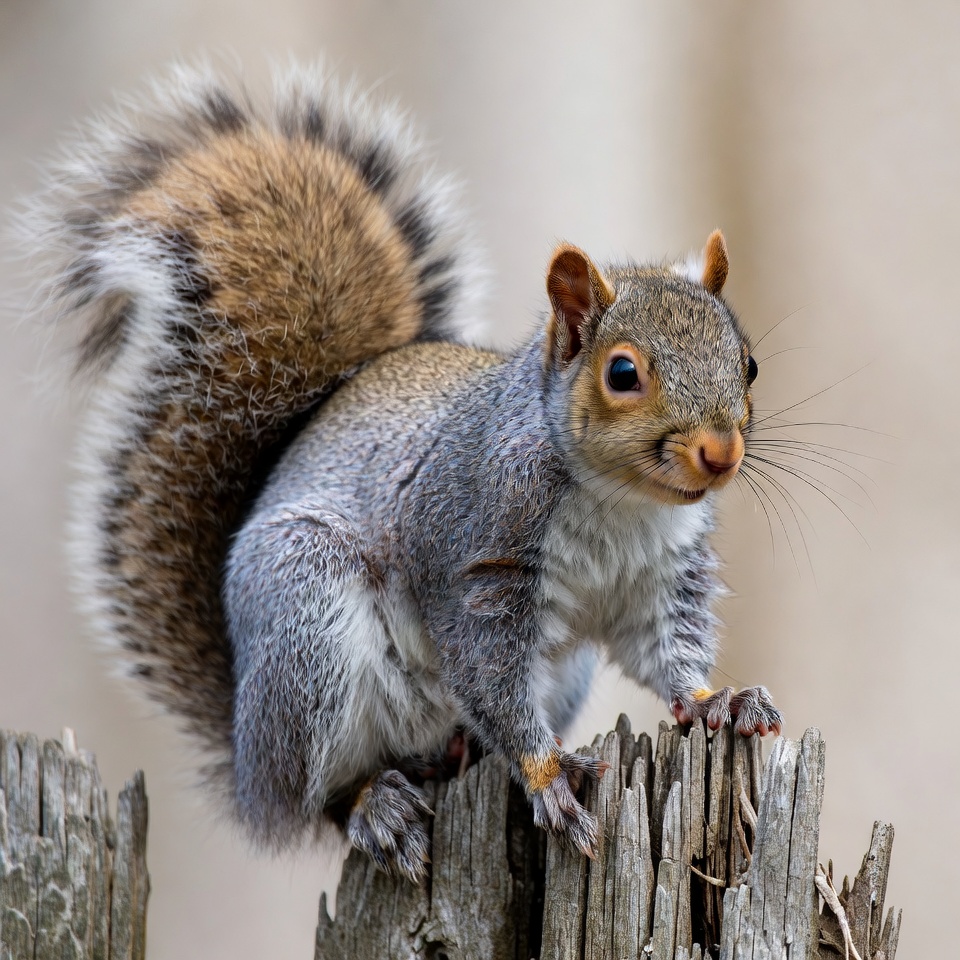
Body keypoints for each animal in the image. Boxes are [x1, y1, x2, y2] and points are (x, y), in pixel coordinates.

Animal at [25, 63, 782, 882]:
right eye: (622, 373)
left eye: (749, 363)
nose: (720, 453)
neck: (623, 502)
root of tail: (245, 759)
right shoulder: (475, 559)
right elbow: (490, 677)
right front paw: (548, 778)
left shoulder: (662, 573)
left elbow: (664, 650)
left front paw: (715, 701)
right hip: (304, 620)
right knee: (317, 798)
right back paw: (374, 805)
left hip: (556, 668)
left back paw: (458, 753)